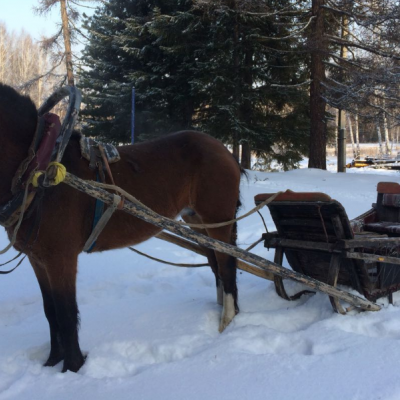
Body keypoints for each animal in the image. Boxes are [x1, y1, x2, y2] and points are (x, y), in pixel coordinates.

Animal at [0, 83, 242, 374]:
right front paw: (51, 362)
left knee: (227, 265)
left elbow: (66, 313)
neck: (37, 169)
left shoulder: (61, 258)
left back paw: (227, 320)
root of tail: (226, 151)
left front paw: (73, 367)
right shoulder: (37, 259)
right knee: (216, 263)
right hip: (198, 221)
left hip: (218, 220)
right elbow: (50, 311)